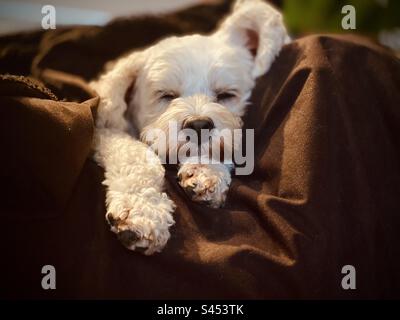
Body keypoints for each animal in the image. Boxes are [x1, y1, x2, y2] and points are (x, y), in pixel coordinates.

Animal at [90, 0, 290, 255]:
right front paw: (142, 209)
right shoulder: (105, 132)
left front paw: (205, 170)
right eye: (166, 95)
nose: (199, 125)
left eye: (226, 95)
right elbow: (136, 155)